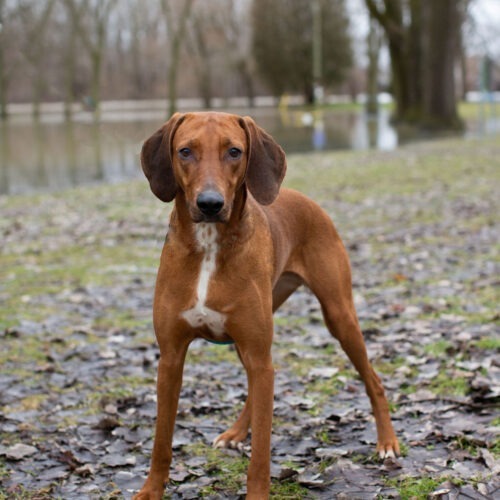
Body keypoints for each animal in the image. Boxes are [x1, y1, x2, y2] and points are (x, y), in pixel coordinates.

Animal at [133, 113, 398, 500]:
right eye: (185, 151)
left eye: (234, 151)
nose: (210, 203)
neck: (209, 246)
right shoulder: (170, 357)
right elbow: (161, 440)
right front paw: (152, 490)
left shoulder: (258, 354)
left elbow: (261, 452)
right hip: (245, 344)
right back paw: (235, 432)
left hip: (338, 316)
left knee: (373, 380)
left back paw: (387, 442)